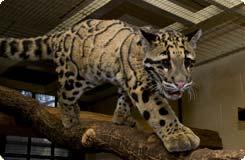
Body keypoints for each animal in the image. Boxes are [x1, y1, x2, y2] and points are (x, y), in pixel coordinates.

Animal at [0, 18, 202, 151]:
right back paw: (69, 117)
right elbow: (161, 111)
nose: (181, 83)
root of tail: (62, 33)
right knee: (63, 92)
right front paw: (180, 136)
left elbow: (124, 98)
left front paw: (121, 117)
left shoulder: (127, 79)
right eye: (165, 63)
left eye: (188, 62)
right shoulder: (142, 85)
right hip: (78, 76)